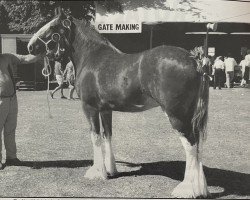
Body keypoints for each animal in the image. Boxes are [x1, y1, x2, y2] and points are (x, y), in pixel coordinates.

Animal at [27, 9, 210, 198]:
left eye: (53, 27)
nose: (30, 46)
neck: (91, 57)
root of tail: (194, 60)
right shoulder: (106, 110)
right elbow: (107, 136)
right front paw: (110, 170)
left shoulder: (90, 108)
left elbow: (95, 136)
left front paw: (96, 173)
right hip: (189, 115)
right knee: (197, 145)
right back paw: (199, 188)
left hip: (177, 115)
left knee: (190, 145)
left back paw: (186, 189)